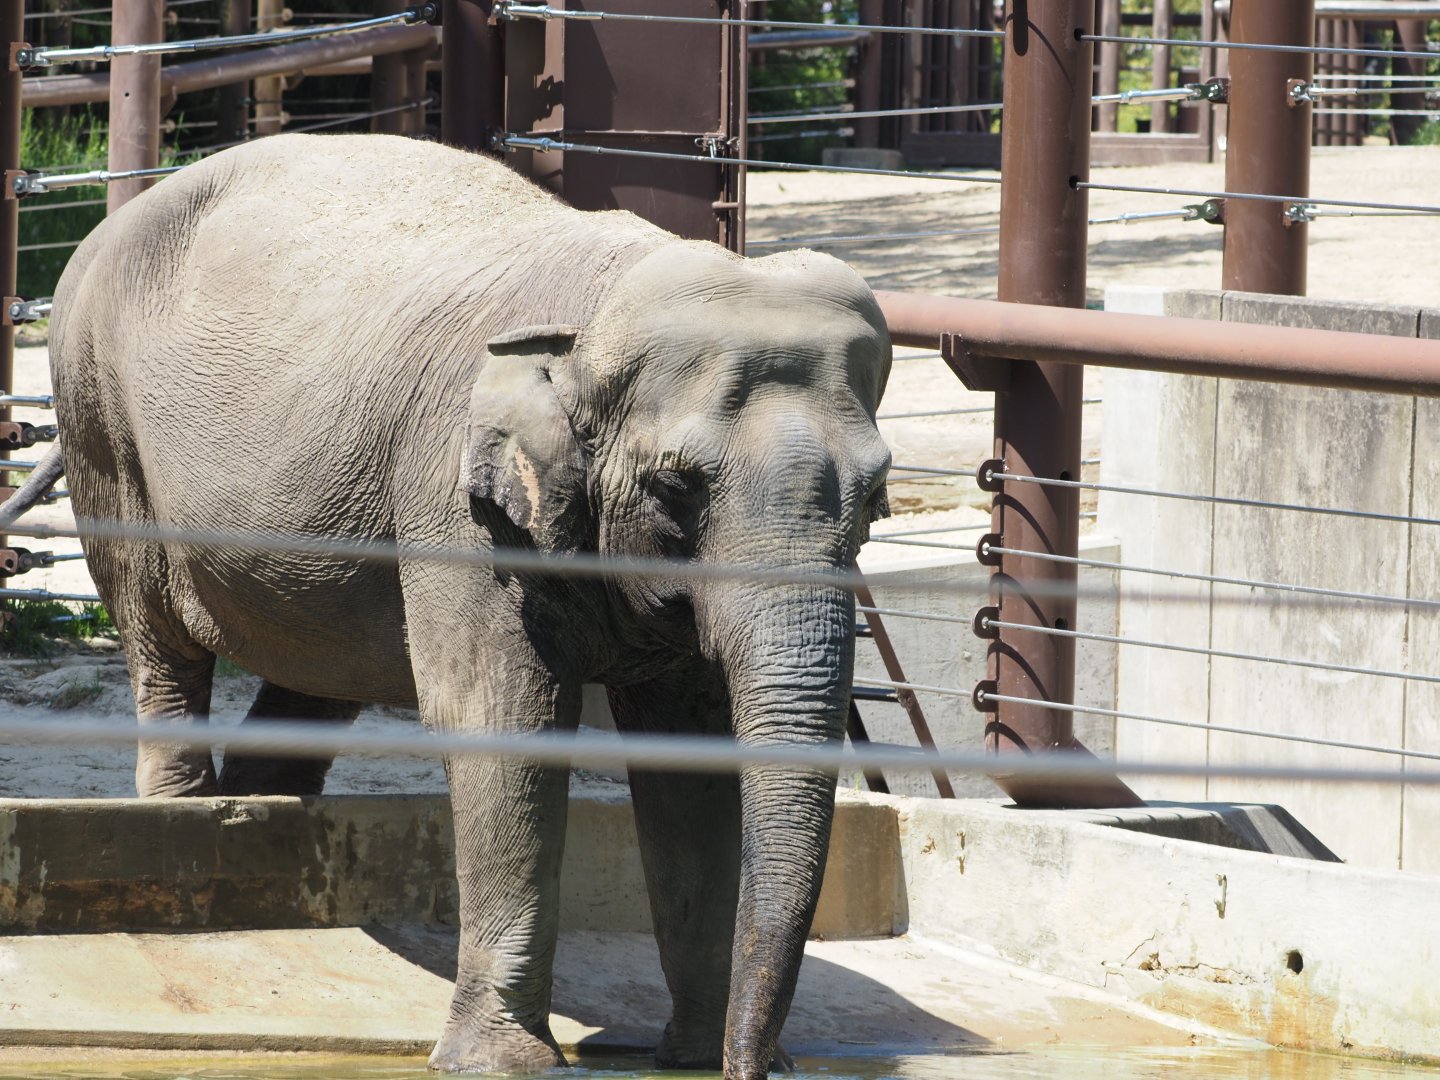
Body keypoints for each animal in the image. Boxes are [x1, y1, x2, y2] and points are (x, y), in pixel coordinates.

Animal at [31, 133, 893, 1078]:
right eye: (677, 487)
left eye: (878, 496)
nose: (757, 1064)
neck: (594, 319)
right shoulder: (457, 498)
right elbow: (498, 720)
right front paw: (501, 1062)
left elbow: (687, 750)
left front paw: (694, 1058)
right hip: (99, 414)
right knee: (155, 626)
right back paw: (188, 813)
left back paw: (265, 810)